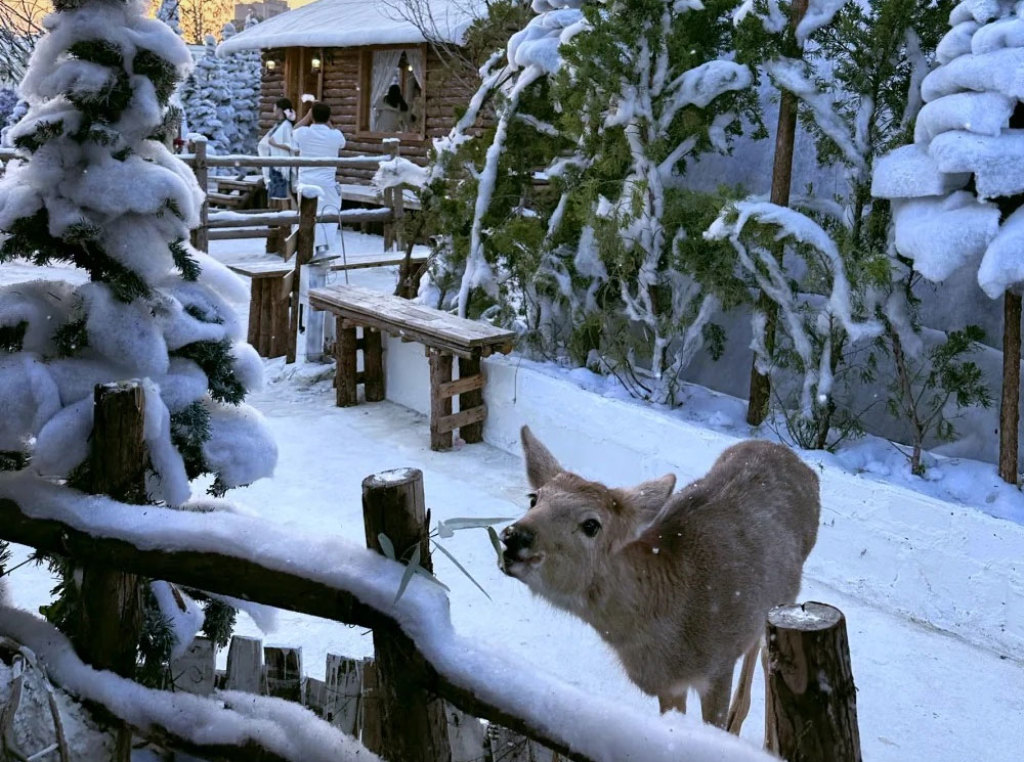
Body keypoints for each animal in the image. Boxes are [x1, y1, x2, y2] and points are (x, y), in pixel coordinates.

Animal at [500, 426, 820, 733]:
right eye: (534, 498)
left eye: (591, 525)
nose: (513, 536)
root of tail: (802, 464)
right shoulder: (669, 687)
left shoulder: (719, 665)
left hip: (785, 599)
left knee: (764, 652)